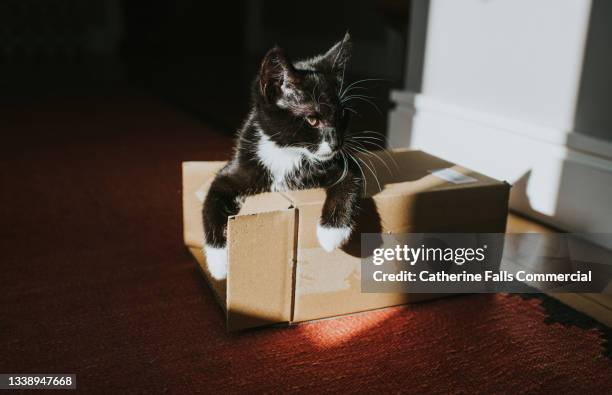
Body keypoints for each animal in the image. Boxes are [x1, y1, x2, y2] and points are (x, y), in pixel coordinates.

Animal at [201, 34, 364, 282]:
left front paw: (331, 233)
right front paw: (219, 262)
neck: (287, 152)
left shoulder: (340, 161)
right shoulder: (236, 168)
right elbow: (213, 197)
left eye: (342, 116)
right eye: (313, 120)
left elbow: (351, 176)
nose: (337, 143)